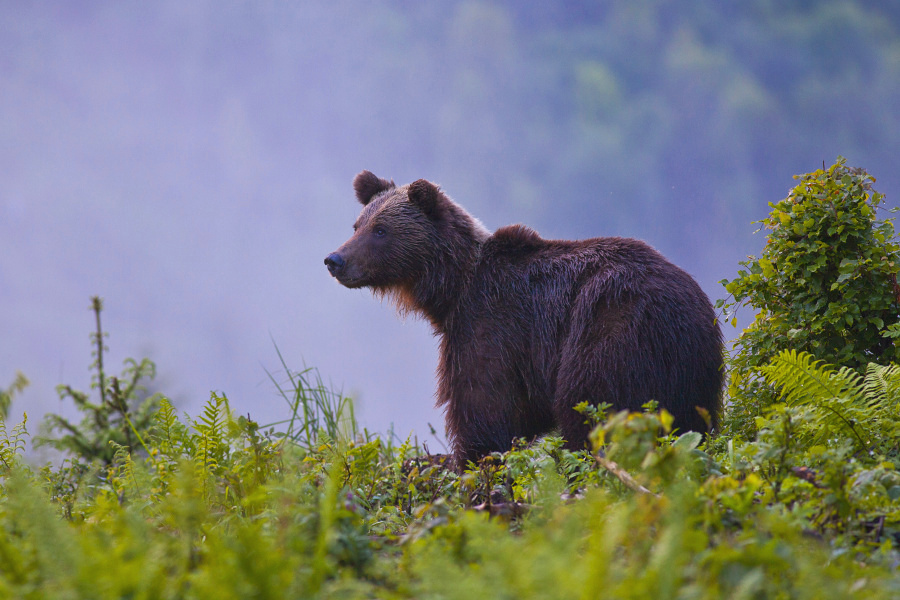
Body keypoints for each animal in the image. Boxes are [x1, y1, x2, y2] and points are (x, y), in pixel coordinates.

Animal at [324, 171, 724, 466]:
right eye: (357, 224)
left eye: (381, 230)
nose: (334, 260)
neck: (451, 289)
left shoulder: (491, 323)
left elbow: (484, 403)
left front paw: (466, 459)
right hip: (690, 371)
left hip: (612, 327)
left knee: (591, 399)